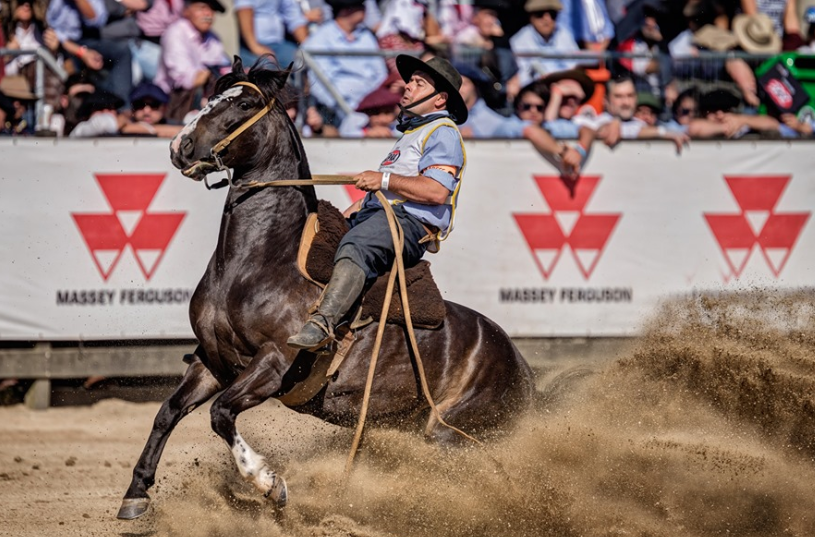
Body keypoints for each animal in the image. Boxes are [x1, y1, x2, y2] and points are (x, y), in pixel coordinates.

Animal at [115, 57, 536, 520]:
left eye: (243, 103)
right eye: (212, 96)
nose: (181, 145)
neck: (258, 262)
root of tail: (522, 366)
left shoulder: (274, 363)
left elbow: (221, 413)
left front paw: (269, 482)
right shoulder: (212, 359)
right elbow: (168, 412)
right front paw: (136, 493)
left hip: (452, 433)